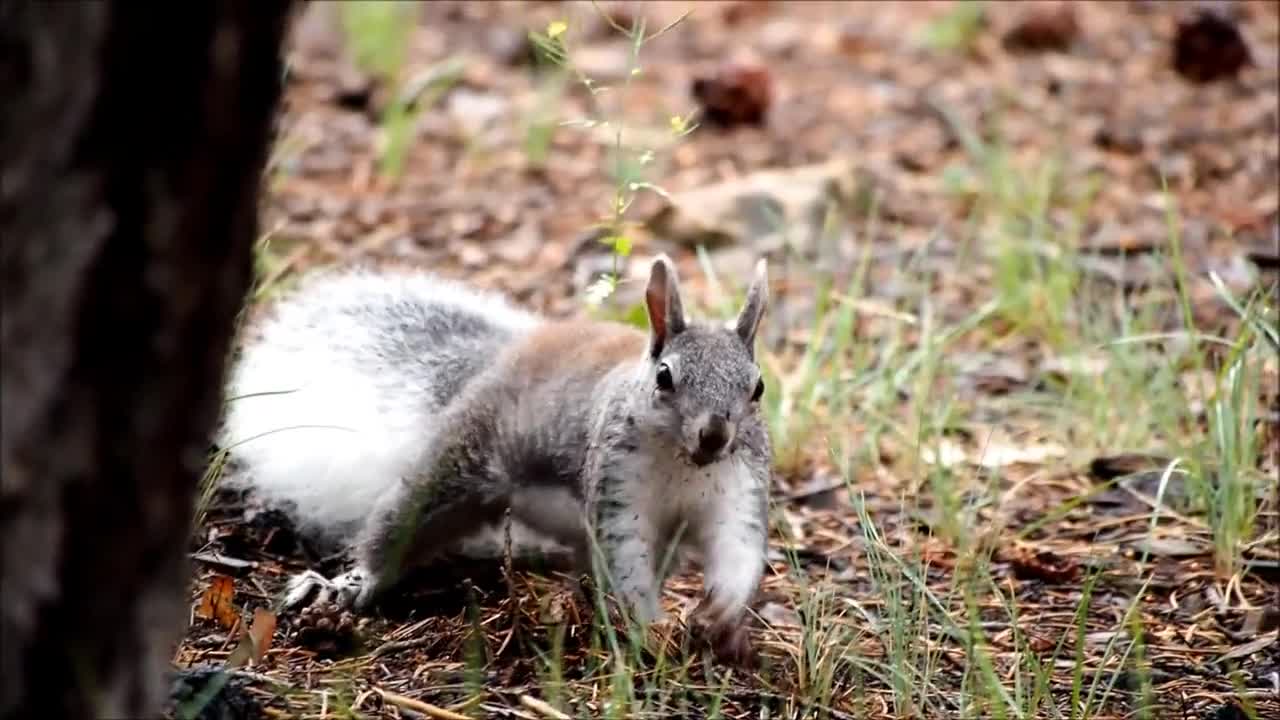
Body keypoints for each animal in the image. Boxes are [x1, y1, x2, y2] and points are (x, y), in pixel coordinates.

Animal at [217, 251, 768, 655]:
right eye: (665, 377)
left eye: (758, 387)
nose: (714, 435)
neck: (683, 464)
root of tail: (497, 360)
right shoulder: (617, 485)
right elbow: (627, 558)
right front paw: (650, 625)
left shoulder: (739, 490)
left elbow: (737, 549)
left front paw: (721, 612)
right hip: (459, 464)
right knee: (399, 527)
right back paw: (349, 583)